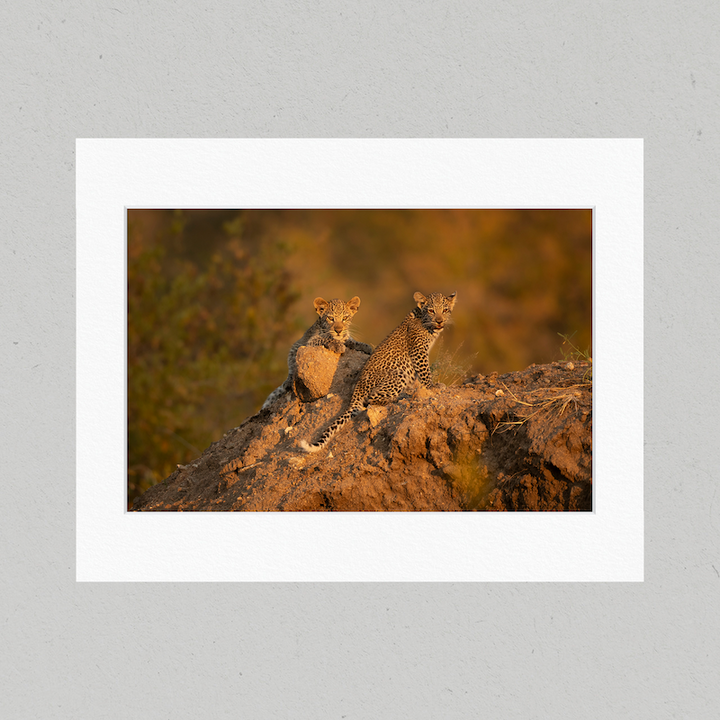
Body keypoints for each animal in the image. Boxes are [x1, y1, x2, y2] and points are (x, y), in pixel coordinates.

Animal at [299, 290, 457, 452]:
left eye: (445, 310)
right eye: (431, 310)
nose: (439, 321)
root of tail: (356, 392)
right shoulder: (418, 351)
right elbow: (425, 372)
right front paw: (432, 387)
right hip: (397, 374)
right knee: (372, 400)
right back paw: (401, 396)